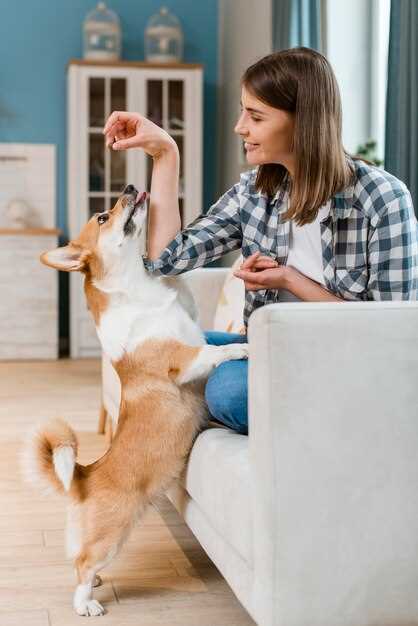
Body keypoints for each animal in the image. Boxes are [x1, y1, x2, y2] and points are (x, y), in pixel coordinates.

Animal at [22, 184, 248, 616]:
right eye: (102, 217)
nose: (128, 187)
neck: (136, 293)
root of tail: (83, 476)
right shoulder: (186, 360)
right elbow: (214, 352)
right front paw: (244, 347)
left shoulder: (189, 315)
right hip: (113, 535)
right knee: (82, 564)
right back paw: (87, 605)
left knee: (80, 560)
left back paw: (95, 585)